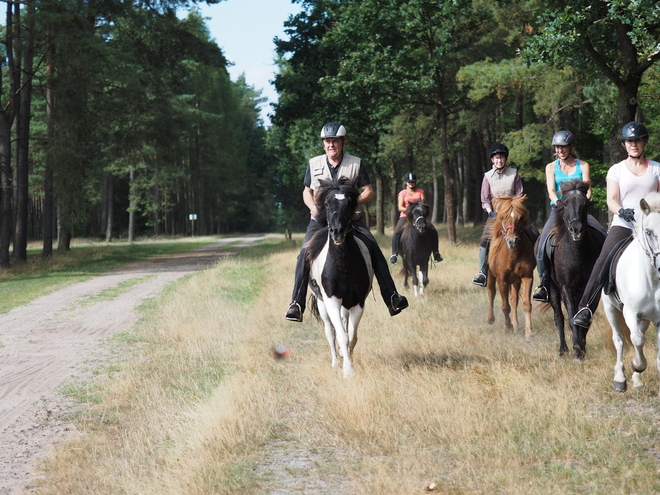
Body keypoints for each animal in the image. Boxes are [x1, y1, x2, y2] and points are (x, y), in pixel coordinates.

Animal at [306, 180, 374, 378]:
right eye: (327, 204)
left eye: (349, 204)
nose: (337, 232)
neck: (343, 265)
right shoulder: (332, 300)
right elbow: (342, 335)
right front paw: (347, 370)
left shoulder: (357, 302)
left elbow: (351, 336)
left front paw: (349, 362)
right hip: (322, 303)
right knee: (330, 331)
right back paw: (336, 362)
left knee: (343, 324)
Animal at [484, 196, 536, 340]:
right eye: (503, 217)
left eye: (520, 217)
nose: (512, 241)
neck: (513, 254)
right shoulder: (502, 280)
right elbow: (505, 306)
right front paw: (507, 328)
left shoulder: (527, 277)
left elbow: (526, 304)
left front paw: (528, 332)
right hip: (491, 275)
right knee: (491, 293)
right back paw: (490, 318)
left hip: (516, 281)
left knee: (514, 300)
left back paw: (516, 324)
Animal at [540, 178, 604, 360]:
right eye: (565, 203)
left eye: (585, 203)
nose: (576, 229)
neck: (577, 253)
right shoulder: (565, 288)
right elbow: (569, 317)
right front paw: (577, 350)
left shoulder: (592, 289)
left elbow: (583, 317)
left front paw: (581, 347)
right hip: (553, 289)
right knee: (559, 318)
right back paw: (563, 350)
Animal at [604, 193, 660, 396]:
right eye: (648, 232)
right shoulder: (630, 312)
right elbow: (636, 340)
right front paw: (637, 365)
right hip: (610, 308)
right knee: (620, 340)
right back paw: (620, 379)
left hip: (643, 318)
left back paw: (636, 381)